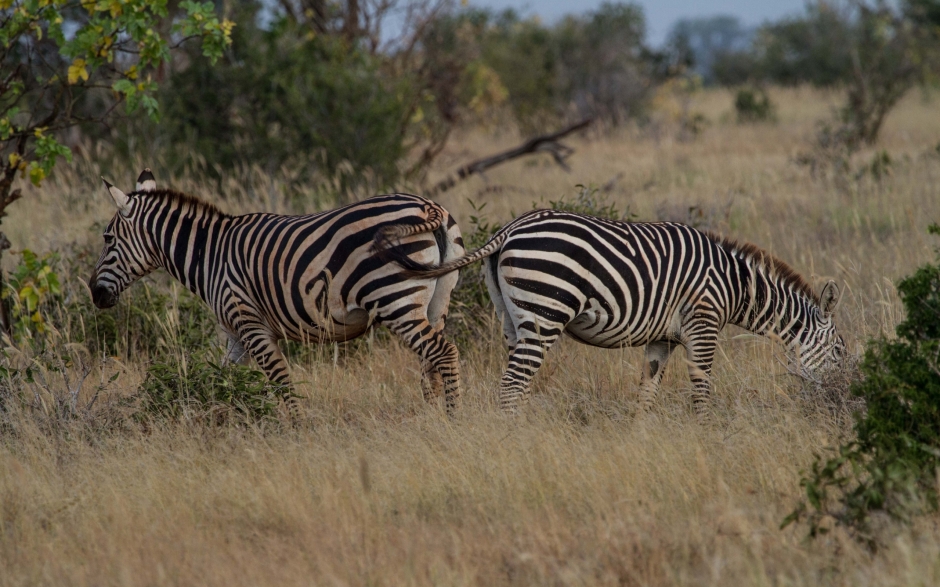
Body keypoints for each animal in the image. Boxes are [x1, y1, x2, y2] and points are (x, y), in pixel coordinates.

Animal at [90, 168, 464, 412]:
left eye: (107, 239)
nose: (94, 293)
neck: (209, 254)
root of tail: (428, 206)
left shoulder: (252, 326)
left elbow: (282, 382)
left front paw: (298, 432)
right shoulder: (236, 335)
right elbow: (220, 380)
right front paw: (213, 415)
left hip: (393, 297)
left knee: (444, 353)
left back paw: (454, 419)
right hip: (436, 300)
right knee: (431, 363)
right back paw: (433, 420)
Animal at [374, 210, 844, 414]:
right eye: (840, 353)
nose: (844, 395)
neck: (736, 285)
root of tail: (509, 229)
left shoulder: (663, 338)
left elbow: (647, 392)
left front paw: (640, 441)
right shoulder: (703, 324)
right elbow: (702, 389)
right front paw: (709, 434)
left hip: (512, 317)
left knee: (514, 381)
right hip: (545, 313)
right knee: (511, 386)